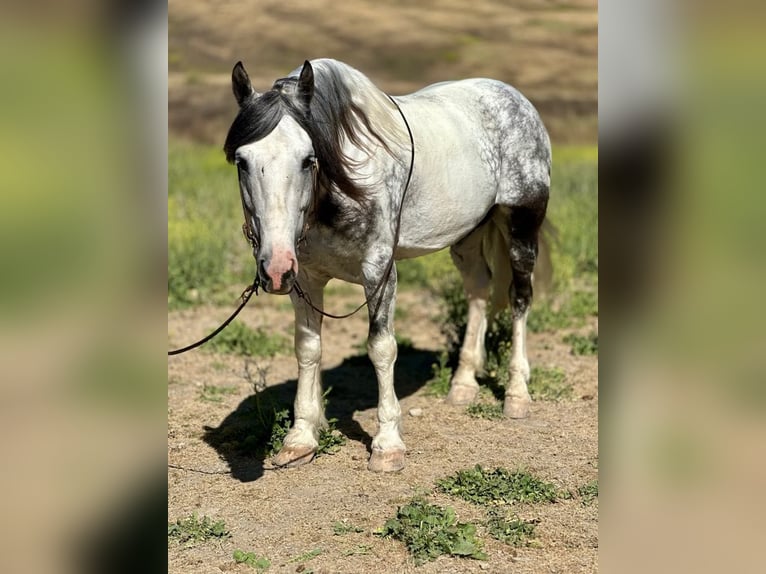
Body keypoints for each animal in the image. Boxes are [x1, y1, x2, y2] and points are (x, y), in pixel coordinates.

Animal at [222, 58, 552, 474]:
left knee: (520, 298)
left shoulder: (379, 272)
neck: (341, 187)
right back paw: (462, 385)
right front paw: (300, 439)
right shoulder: (307, 279)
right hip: (468, 235)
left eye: (308, 159)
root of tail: (516, 100)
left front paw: (387, 445)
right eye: (242, 162)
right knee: (478, 290)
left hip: (522, 224)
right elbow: (308, 348)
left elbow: (381, 348)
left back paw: (517, 394)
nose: (275, 268)